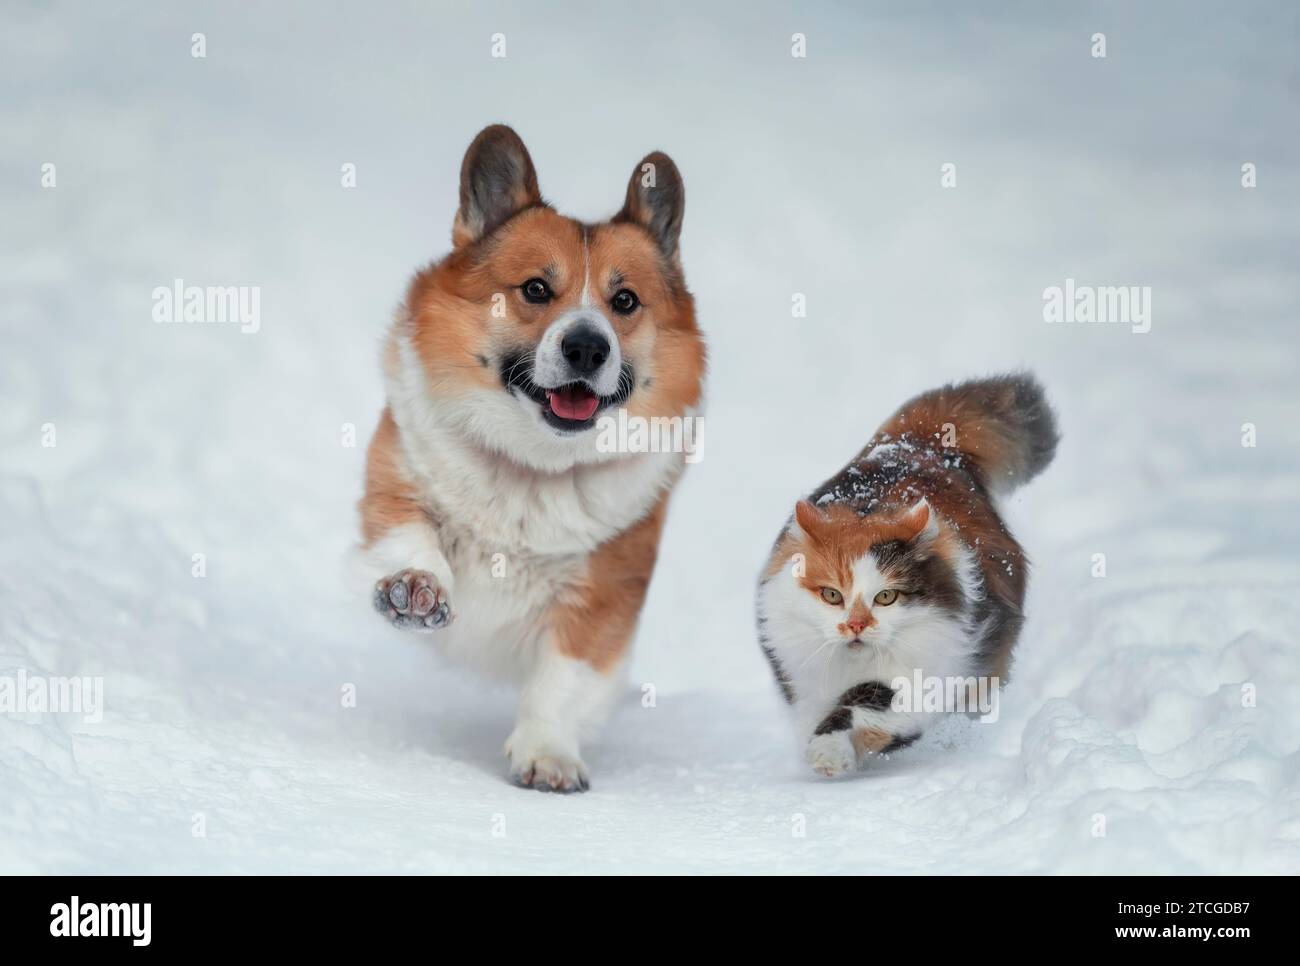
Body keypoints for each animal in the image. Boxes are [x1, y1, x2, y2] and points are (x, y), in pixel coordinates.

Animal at [356, 126, 707, 795]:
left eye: (625, 301)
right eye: (536, 290)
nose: (587, 347)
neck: (534, 465)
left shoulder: (602, 599)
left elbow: (561, 682)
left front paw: (547, 755)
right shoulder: (395, 482)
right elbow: (409, 535)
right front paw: (415, 587)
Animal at [759, 371, 1060, 780]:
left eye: (886, 597)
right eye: (832, 595)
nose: (855, 626)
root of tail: (920, 442)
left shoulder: (927, 675)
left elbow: (862, 708)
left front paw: (830, 754)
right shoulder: (803, 680)